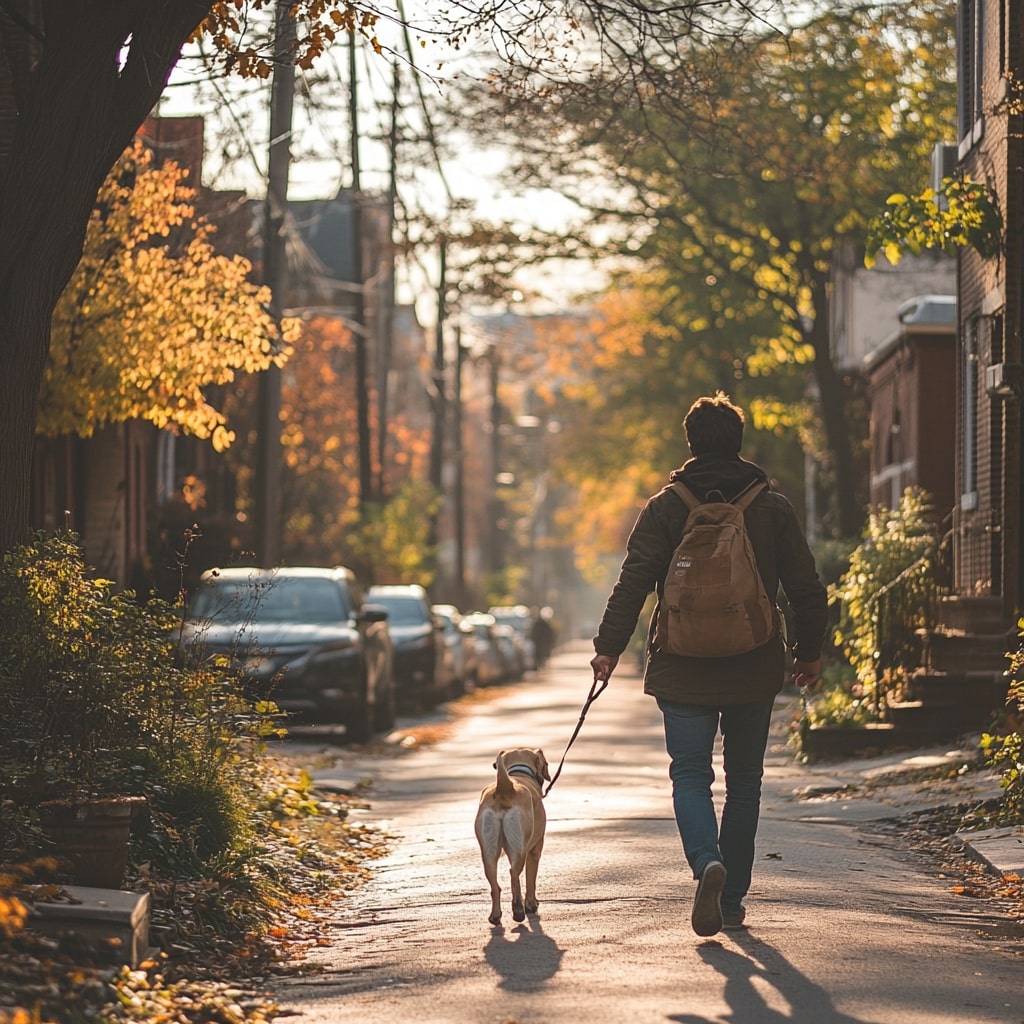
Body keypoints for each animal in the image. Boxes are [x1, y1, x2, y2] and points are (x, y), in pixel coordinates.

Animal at [473, 745, 548, 929]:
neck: (519, 774)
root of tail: (505, 788)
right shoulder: (535, 850)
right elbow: (530, 879)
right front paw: (531, 905)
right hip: (519, 849)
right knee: (514, 874)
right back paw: (519, 911)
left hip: (488, 852)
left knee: (495, 886)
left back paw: (495, 916)